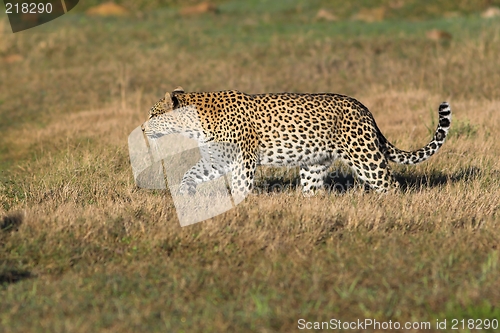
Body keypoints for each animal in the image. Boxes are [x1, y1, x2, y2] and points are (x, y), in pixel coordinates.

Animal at [140, 85, 450, 201]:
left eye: (153, 114)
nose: (142, 128)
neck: (195, 125)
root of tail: (365, 109)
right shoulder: (218, 159)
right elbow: (192, 172)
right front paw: (185, 193)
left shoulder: (243, 159)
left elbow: (240, 185)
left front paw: (240, 205)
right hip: (314, 164)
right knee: (313, 189)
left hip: (365, 157)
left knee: (390, 184)